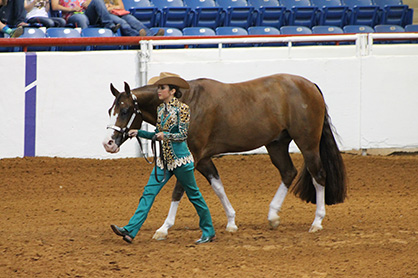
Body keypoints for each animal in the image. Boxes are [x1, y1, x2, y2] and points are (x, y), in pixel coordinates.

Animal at [103, 73, 348, 239]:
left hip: (307, 144)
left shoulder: (192, 157)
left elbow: (179, 191)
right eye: (110, 111)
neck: (189, 101)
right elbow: (218, 187)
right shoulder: (203, 159)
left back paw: (317, 222)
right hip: (276, 144)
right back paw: (273, 216)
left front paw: (163, 228)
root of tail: (310, 85)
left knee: (318, 176)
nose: (108, 144)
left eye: (124, 110)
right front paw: (231, 222)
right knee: (288, 172)